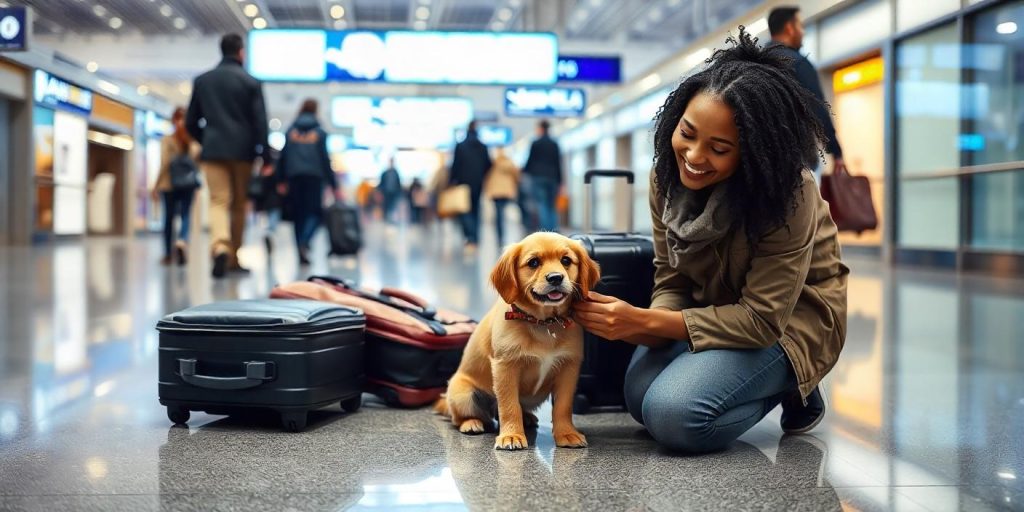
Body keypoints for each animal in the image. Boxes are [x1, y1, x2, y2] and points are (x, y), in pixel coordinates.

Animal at [434, 234, 598, 450]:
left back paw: (527, 417)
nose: (556, 277)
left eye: (566, 260)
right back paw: (471, 423)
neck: (543, 323)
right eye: (533, 262)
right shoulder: (505, 367)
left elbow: (563, 406)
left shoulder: (569, 368)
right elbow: (509, 406)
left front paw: (567, 433)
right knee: (462, 417)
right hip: (463, 394)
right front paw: (511, 436)